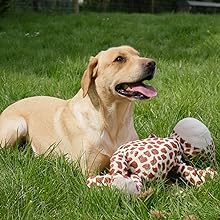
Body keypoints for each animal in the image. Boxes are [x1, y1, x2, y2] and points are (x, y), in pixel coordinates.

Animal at [0, 45, 156, 174]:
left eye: (138, 55)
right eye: (119, 59)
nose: (152, 63)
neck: (114, 122)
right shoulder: (89, 170)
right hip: (18, 126)